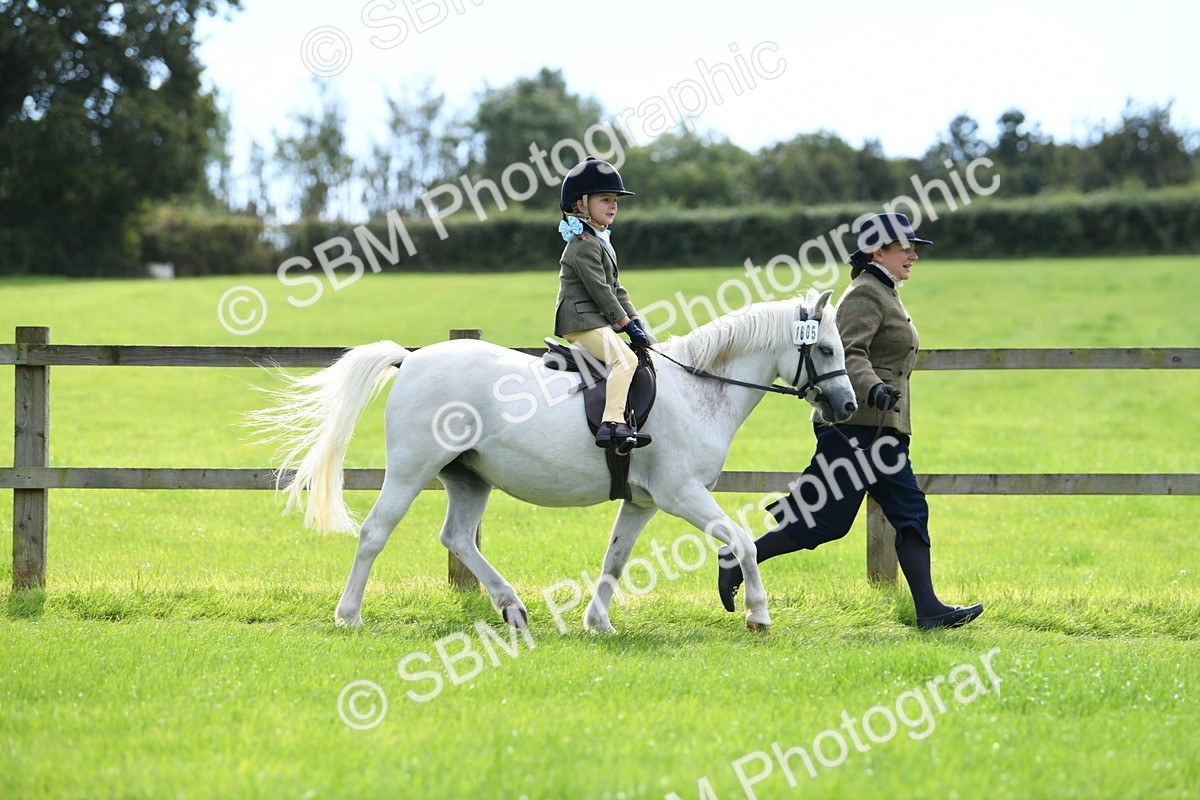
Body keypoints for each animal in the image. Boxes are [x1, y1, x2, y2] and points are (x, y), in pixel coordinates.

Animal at [249, 288, 857, 633]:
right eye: (827, 348)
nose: (849, 406)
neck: (697, 387)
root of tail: (412, 359)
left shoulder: (643, 502)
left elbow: (616, 558)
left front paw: (598, 623)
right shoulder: (682, 493)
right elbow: (743, 541)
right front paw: (758, 613)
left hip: (469, 478)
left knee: (458, 538)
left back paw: (512, 608)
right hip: (410, 471)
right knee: (375, 532)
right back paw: (349, 615)